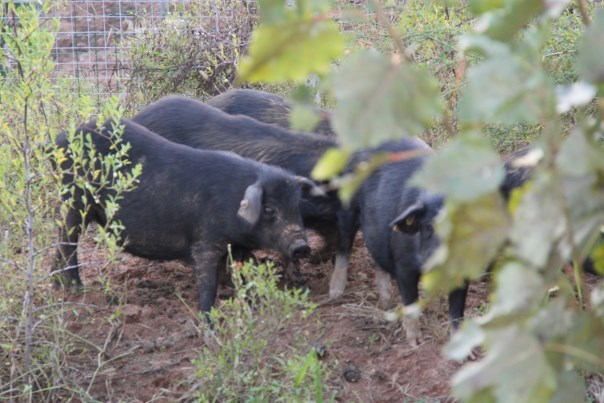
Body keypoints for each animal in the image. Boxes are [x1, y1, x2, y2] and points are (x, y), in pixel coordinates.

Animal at [52, 117, 312, 316]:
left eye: (296, 206)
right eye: (269, 209)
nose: (302, 246)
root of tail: (57, 140)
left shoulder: (236, 246)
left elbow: (246, 272)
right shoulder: (205, 239)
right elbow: (208, 284)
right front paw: (208, 322)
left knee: (60, 242)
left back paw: (56, 285)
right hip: (74, 201)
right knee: (68, 242)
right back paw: (78, 290)